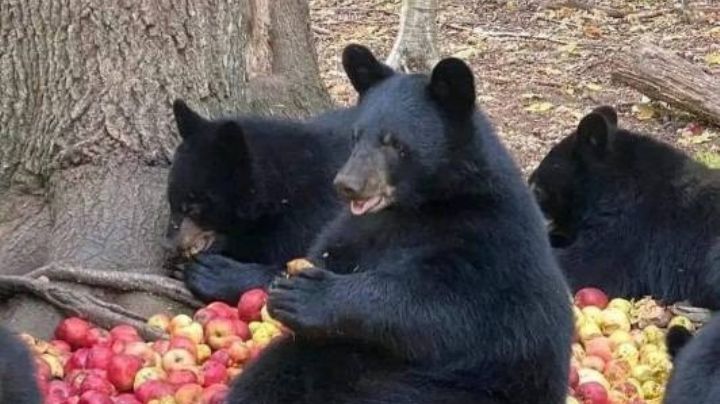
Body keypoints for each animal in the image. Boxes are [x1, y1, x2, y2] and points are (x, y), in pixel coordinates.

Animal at [226, 44, 573, 404]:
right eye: (356, 136)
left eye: (393, 142)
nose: (347, 184)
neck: (416, 205)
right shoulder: (359, 228)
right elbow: (330, 250)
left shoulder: (487, 237)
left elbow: (446, 307)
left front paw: (309, 294)